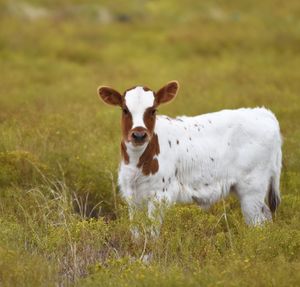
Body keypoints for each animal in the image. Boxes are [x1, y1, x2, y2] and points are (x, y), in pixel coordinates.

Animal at [97, 81, 282, 236]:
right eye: (125, 110)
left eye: (153, 110)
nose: (139, 135)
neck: (137, 160)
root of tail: (263, 112)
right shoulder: (132, 196)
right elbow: (136, 232)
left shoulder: (160, 196)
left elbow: (152, 234)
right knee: (266, 216)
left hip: (253, 188)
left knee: (257, 223)